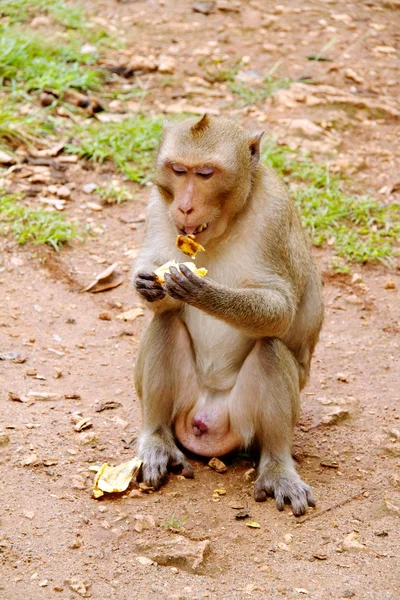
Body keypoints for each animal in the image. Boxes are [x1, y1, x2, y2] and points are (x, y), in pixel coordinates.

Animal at [133, 116, 324, 516]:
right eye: (178, 170)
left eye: (206, 174)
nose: (185, 207)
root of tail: (208, 416)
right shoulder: (158, 208)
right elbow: (160, 293)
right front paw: (146, 283)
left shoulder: (273, 213)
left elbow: (281, 310)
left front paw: (203, 292)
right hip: (187, 401)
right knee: (165, 324)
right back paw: (156, 440)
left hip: (242, 418)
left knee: (270, 348)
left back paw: (278, 468)